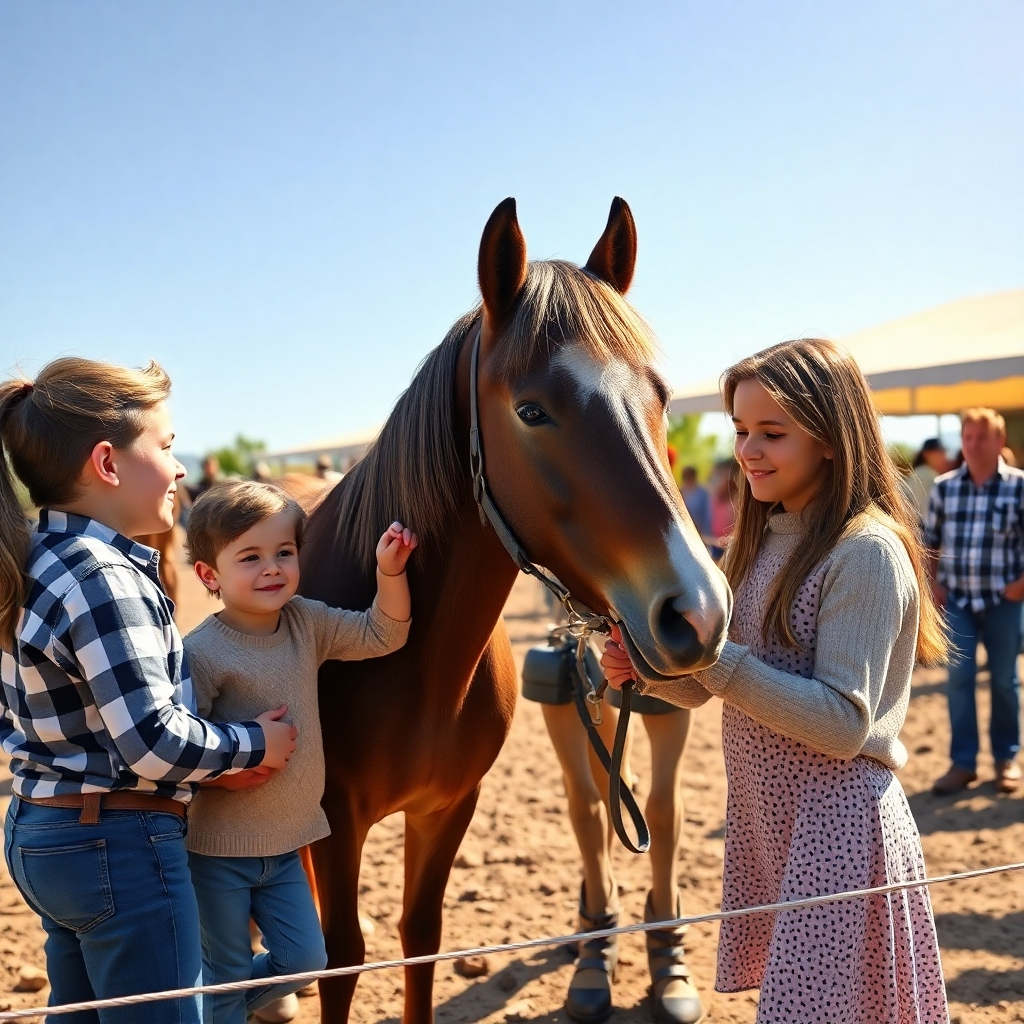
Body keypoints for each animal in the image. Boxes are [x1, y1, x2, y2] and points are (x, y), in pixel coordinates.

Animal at [299, 197, 732, 1024]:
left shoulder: (446, 810)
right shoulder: (338, 822)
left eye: (661, 396)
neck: (411, 659)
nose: (696, 611)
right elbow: (343, 961)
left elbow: (420, 938)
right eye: (531, 410)